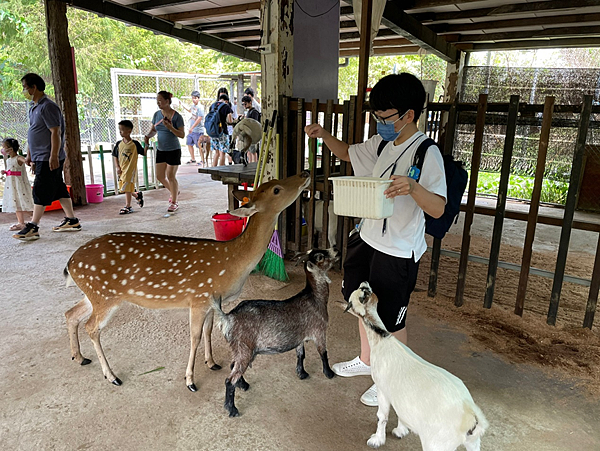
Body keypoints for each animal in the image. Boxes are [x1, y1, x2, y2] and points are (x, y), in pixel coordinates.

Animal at [64, 171, 310, 390]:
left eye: (274, 182)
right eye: (276, 189)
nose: (305, 173)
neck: (233, 260)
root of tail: (70, 264)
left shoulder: (212, 301)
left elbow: (209, 331)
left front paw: (212, 363)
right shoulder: (198, 297)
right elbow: (195, 337)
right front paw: (190, 380)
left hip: (93, 294)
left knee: (71, 314)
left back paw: (79, 357)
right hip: (105, 294)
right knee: (91, 326)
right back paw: (111, 376)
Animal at [346, 282, 488, 451]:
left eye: (362, 292)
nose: (365, 283)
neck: (382, 339)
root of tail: (470, 416)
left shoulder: (383, 389)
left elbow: (382, 416)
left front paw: (377, 440)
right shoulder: (400, 396)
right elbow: (401, 413)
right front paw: (401, 431)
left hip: (437, 444)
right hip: (473, 443)